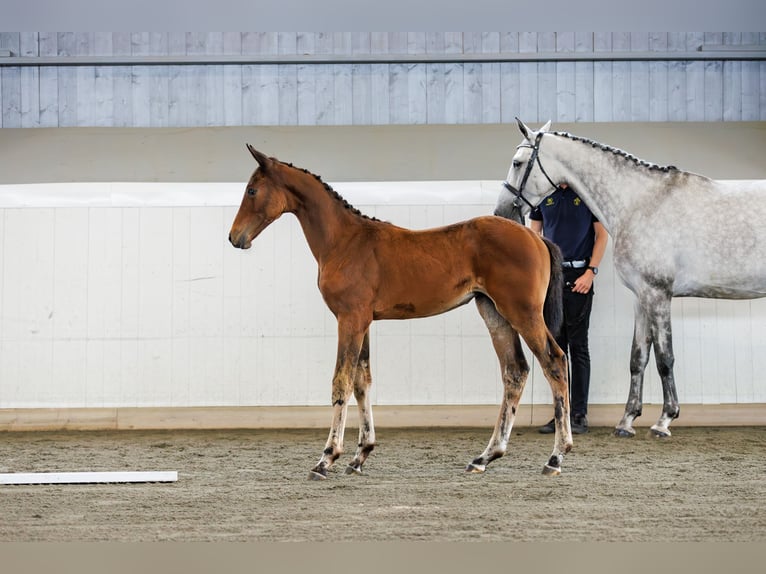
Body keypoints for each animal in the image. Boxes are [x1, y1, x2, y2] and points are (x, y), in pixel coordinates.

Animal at [228, 145, 568, 482]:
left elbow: (341, 381)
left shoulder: (349, 320)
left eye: (252, 190)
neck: (345, 242)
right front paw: (360, 456)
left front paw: (326, 459)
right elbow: (362, 381)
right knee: (515, 371)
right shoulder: (363, 322)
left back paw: (556, 457)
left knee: (554, 361)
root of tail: (536, 237)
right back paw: (485, 456)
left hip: (523, 313)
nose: (235, 237)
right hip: (494, 313)